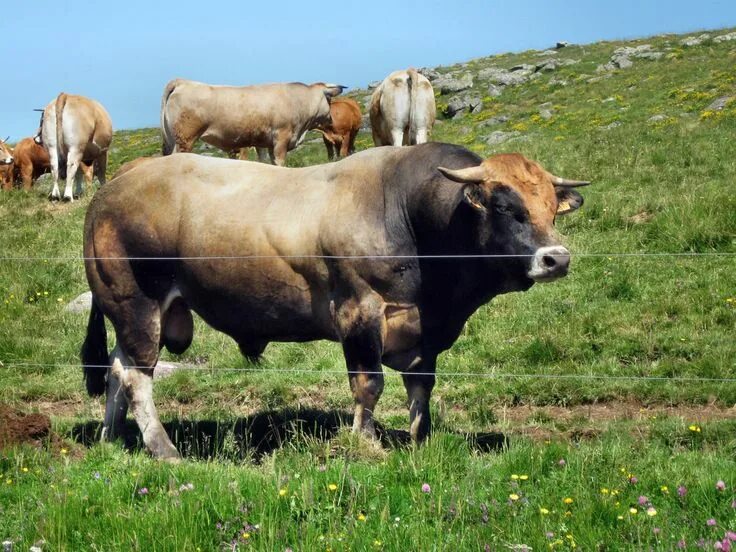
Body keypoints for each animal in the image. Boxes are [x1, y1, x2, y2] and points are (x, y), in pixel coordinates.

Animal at [79, 142, 588, 462]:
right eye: (505, 206)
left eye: (551, 207)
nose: (556, 258)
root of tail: (125, 175)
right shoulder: (360, 311)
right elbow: (369, 384)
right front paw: (367, 444)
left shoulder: (423, 330)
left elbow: (421, 387)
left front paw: (420, 442)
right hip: (137, 302)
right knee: (137, 375)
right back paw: (164, 449)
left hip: (130, 312)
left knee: (116, 370)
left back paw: (111, 439)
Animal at [161, 77, 344, 165]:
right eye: (329, 100)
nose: (331, 119)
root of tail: (183, 82)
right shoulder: (281, 138)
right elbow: (280, 162)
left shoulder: (266, 143)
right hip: (185, 139)